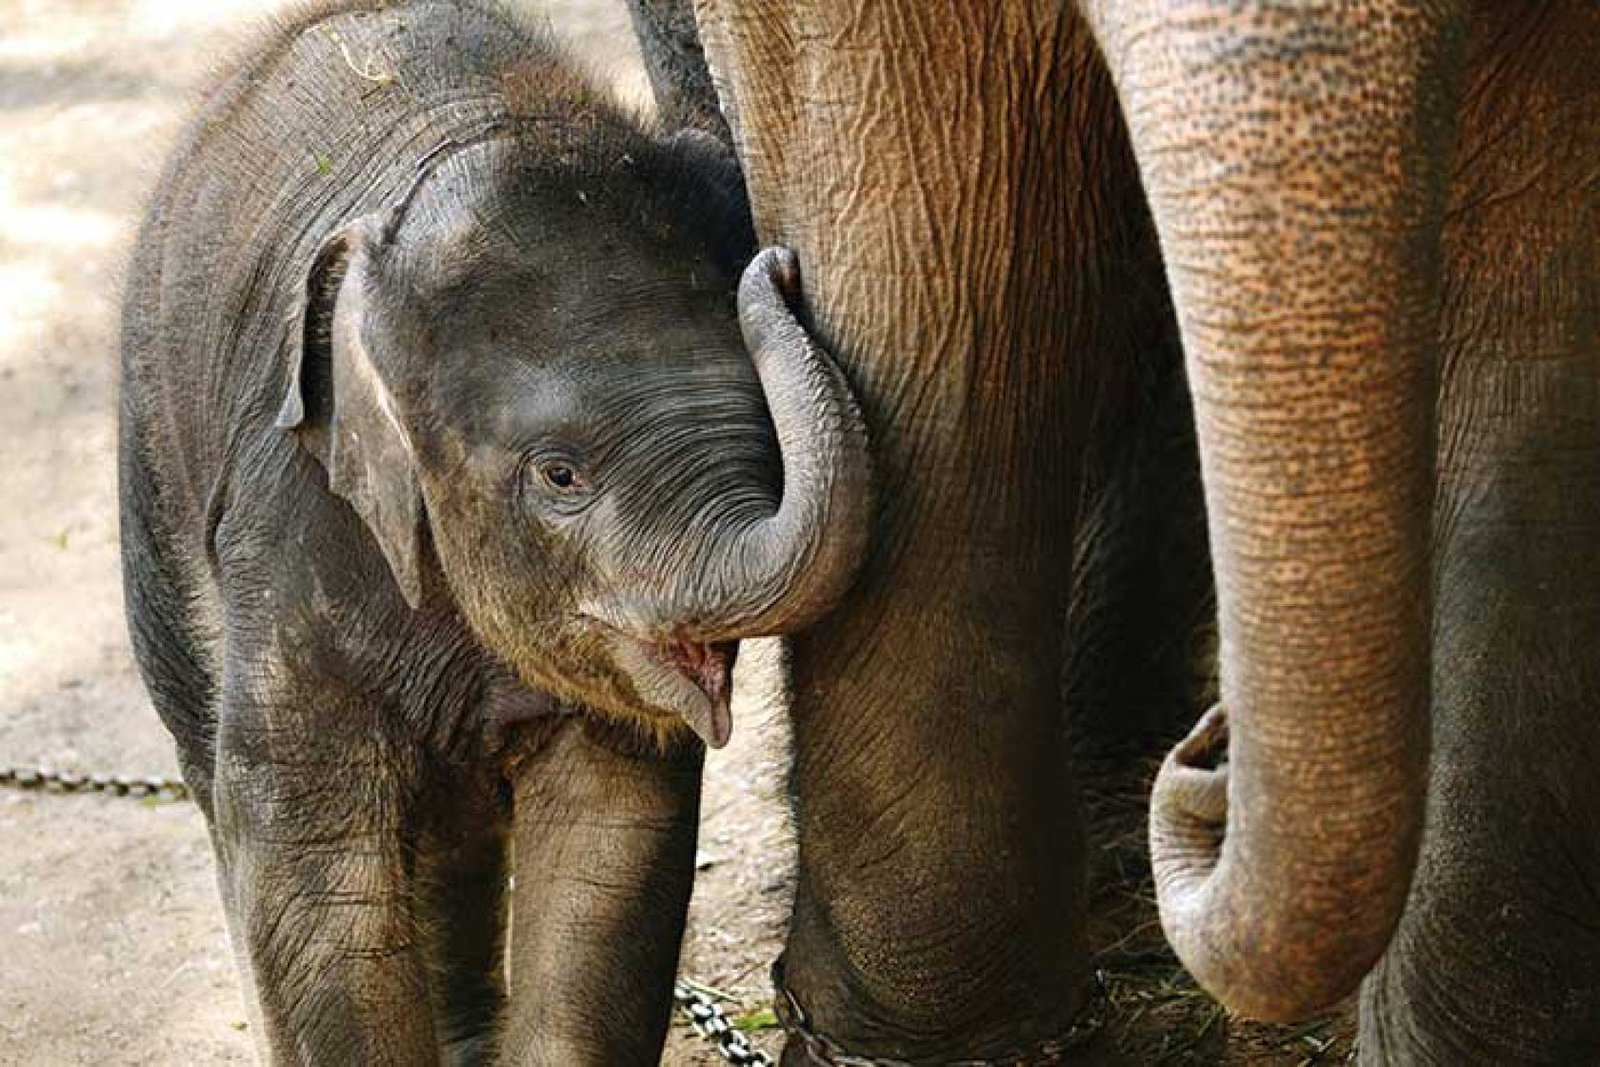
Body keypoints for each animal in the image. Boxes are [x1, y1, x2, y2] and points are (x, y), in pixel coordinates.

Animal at [118, 1, 870, 1062]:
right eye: (559, 475)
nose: (783, 264)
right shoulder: (297, 524)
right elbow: (317, 874)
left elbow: (605, 853)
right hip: (150, 476)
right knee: (215, 782)